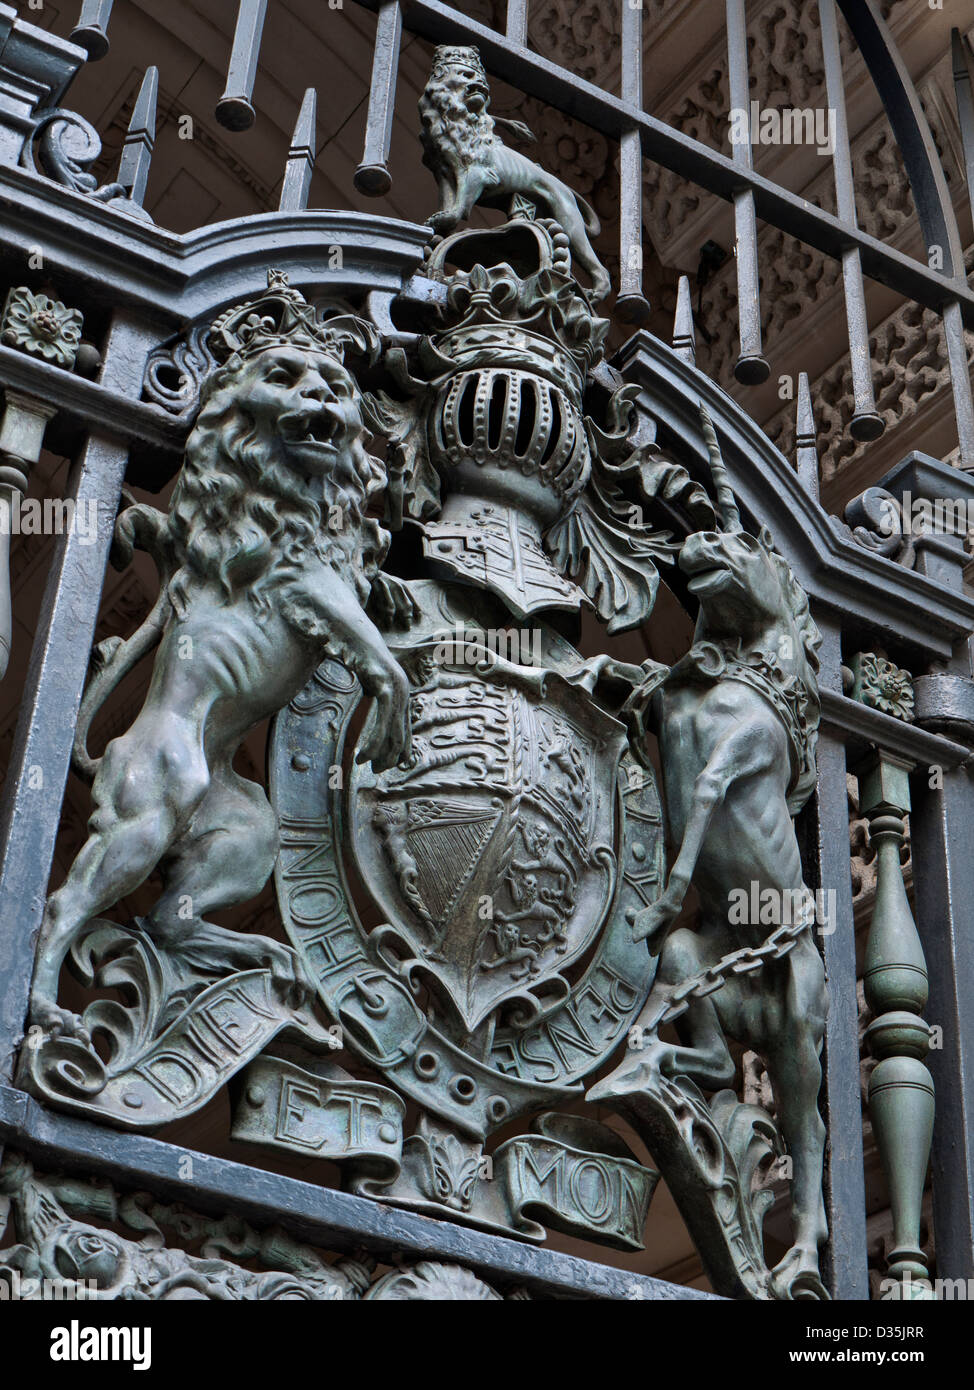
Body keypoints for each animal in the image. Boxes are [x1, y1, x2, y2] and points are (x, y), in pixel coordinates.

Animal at [416, 44, 608, 303]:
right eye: (466, 75)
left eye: (478, 75)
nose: (482, 84)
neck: (455, 116)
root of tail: (565, 187)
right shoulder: (444, 171)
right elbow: (448, 199)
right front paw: (440, 224)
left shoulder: (475, 171)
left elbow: (462, 204)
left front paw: (446, 219)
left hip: (567, 216)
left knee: (596, 263)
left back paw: (596, 292)